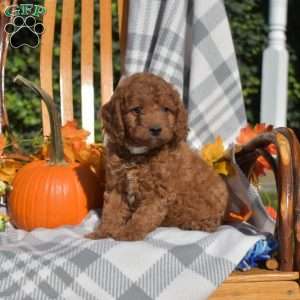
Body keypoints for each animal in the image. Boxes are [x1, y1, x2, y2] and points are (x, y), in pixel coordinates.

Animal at [86, 72, 230, 241]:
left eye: (165, 109)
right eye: (136, 109)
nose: (156, 129)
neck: (139, 154)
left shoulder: (157, 194)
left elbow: (143, 216)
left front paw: (129, 233)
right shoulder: (116, 186)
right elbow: (111, 212)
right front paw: (102, 232)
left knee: (210, 223)